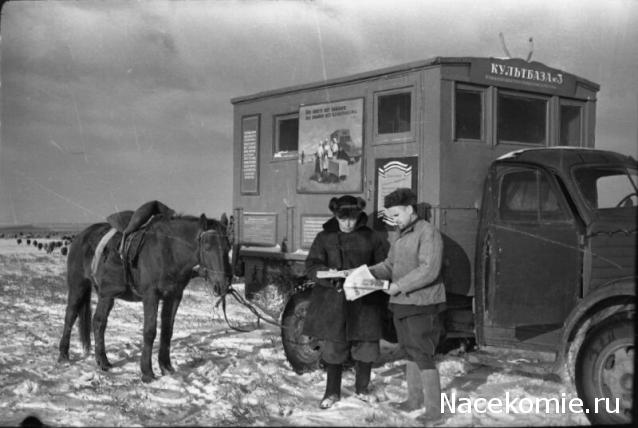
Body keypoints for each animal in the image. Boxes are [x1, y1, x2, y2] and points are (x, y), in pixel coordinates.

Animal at [57, 212, 232, 382]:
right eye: (207, 247)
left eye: (228, 247)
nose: (223, 285)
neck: (168, 251)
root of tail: (81, 236)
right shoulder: (151, 296)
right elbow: (150, 331)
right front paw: (147, 372)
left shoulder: (173, 296)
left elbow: (167, 331)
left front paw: (166, 367)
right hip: (78, 287)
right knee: (70, 316)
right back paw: (64, 355)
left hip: (107, 295)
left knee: (99, 322)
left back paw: (103, 361)